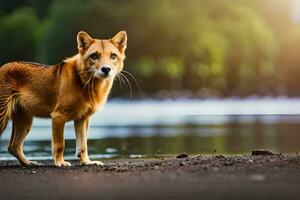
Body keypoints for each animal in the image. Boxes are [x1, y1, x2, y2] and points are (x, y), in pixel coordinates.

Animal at [0, 30, 126, 166]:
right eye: (94, 56)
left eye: (113, 56)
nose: (106, 69)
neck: (85, 83)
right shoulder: (58, 116)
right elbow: (60, 144)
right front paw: (60, 162)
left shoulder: (82, 119)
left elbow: (83, 145)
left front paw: (87, 162)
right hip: (4, 118)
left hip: (25, 120)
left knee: (13, 146)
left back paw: (28, 163)